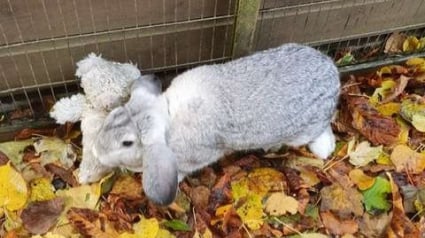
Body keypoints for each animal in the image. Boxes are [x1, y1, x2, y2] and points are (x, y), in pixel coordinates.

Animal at [92, 42, 338, 205]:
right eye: (114, 114)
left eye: (127, 143)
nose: (95, 150)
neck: (169, 115)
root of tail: (333, 74)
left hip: (305, 131)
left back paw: (323, 148)